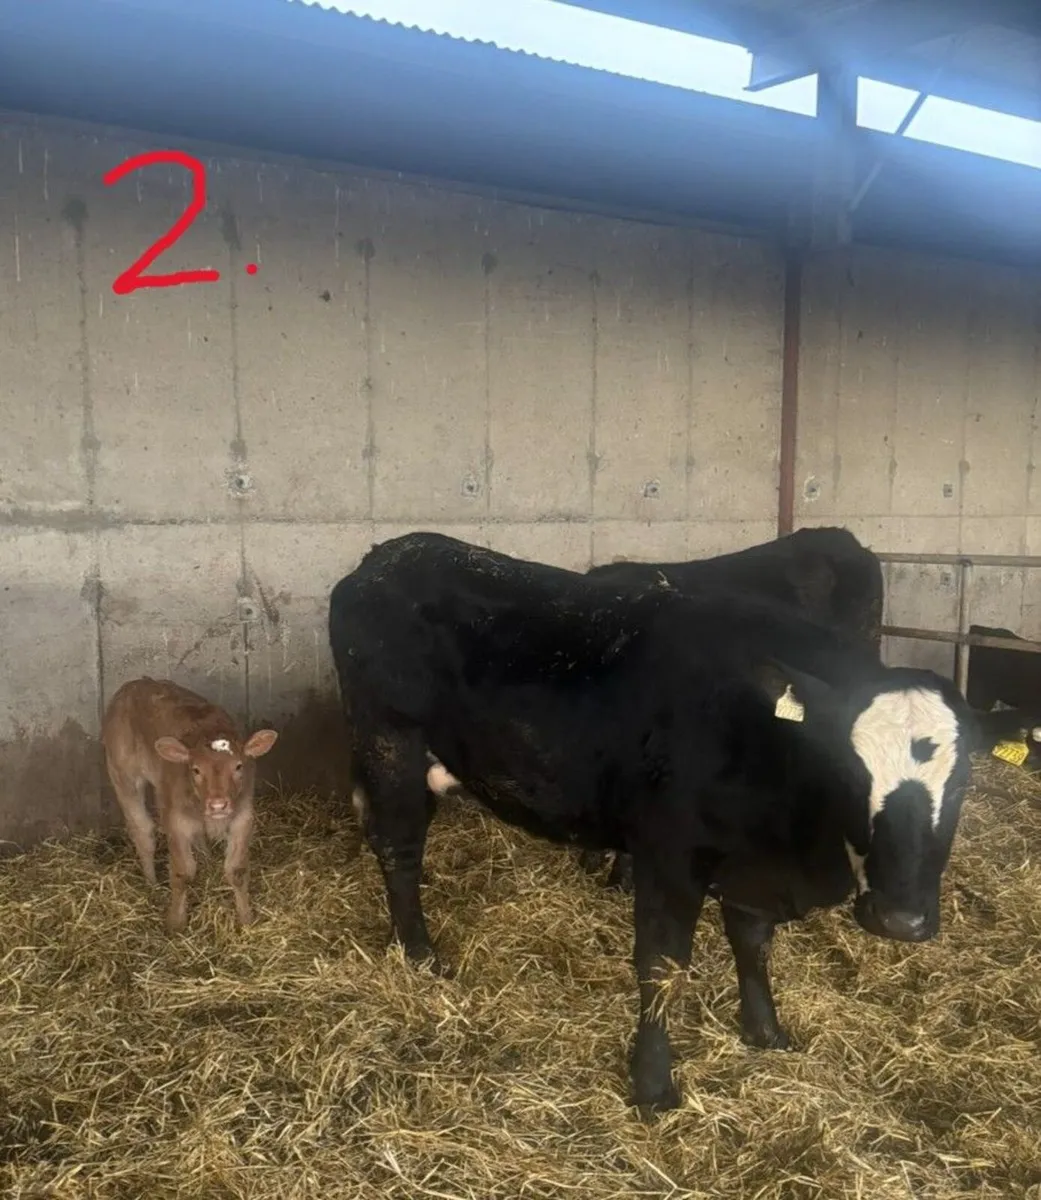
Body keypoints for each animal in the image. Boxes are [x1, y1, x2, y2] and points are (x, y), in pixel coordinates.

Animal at [101, 678, 279, 933]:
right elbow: (183, 872)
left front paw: (246, 919)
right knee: (142, 830)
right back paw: (152, 883)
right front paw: (176, 922)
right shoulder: (176, 822)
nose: (218, 805)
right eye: (196, 770)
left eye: (238, 766)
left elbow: (237, 870)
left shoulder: (243, 818)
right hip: (123, 774)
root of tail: (134, 684)